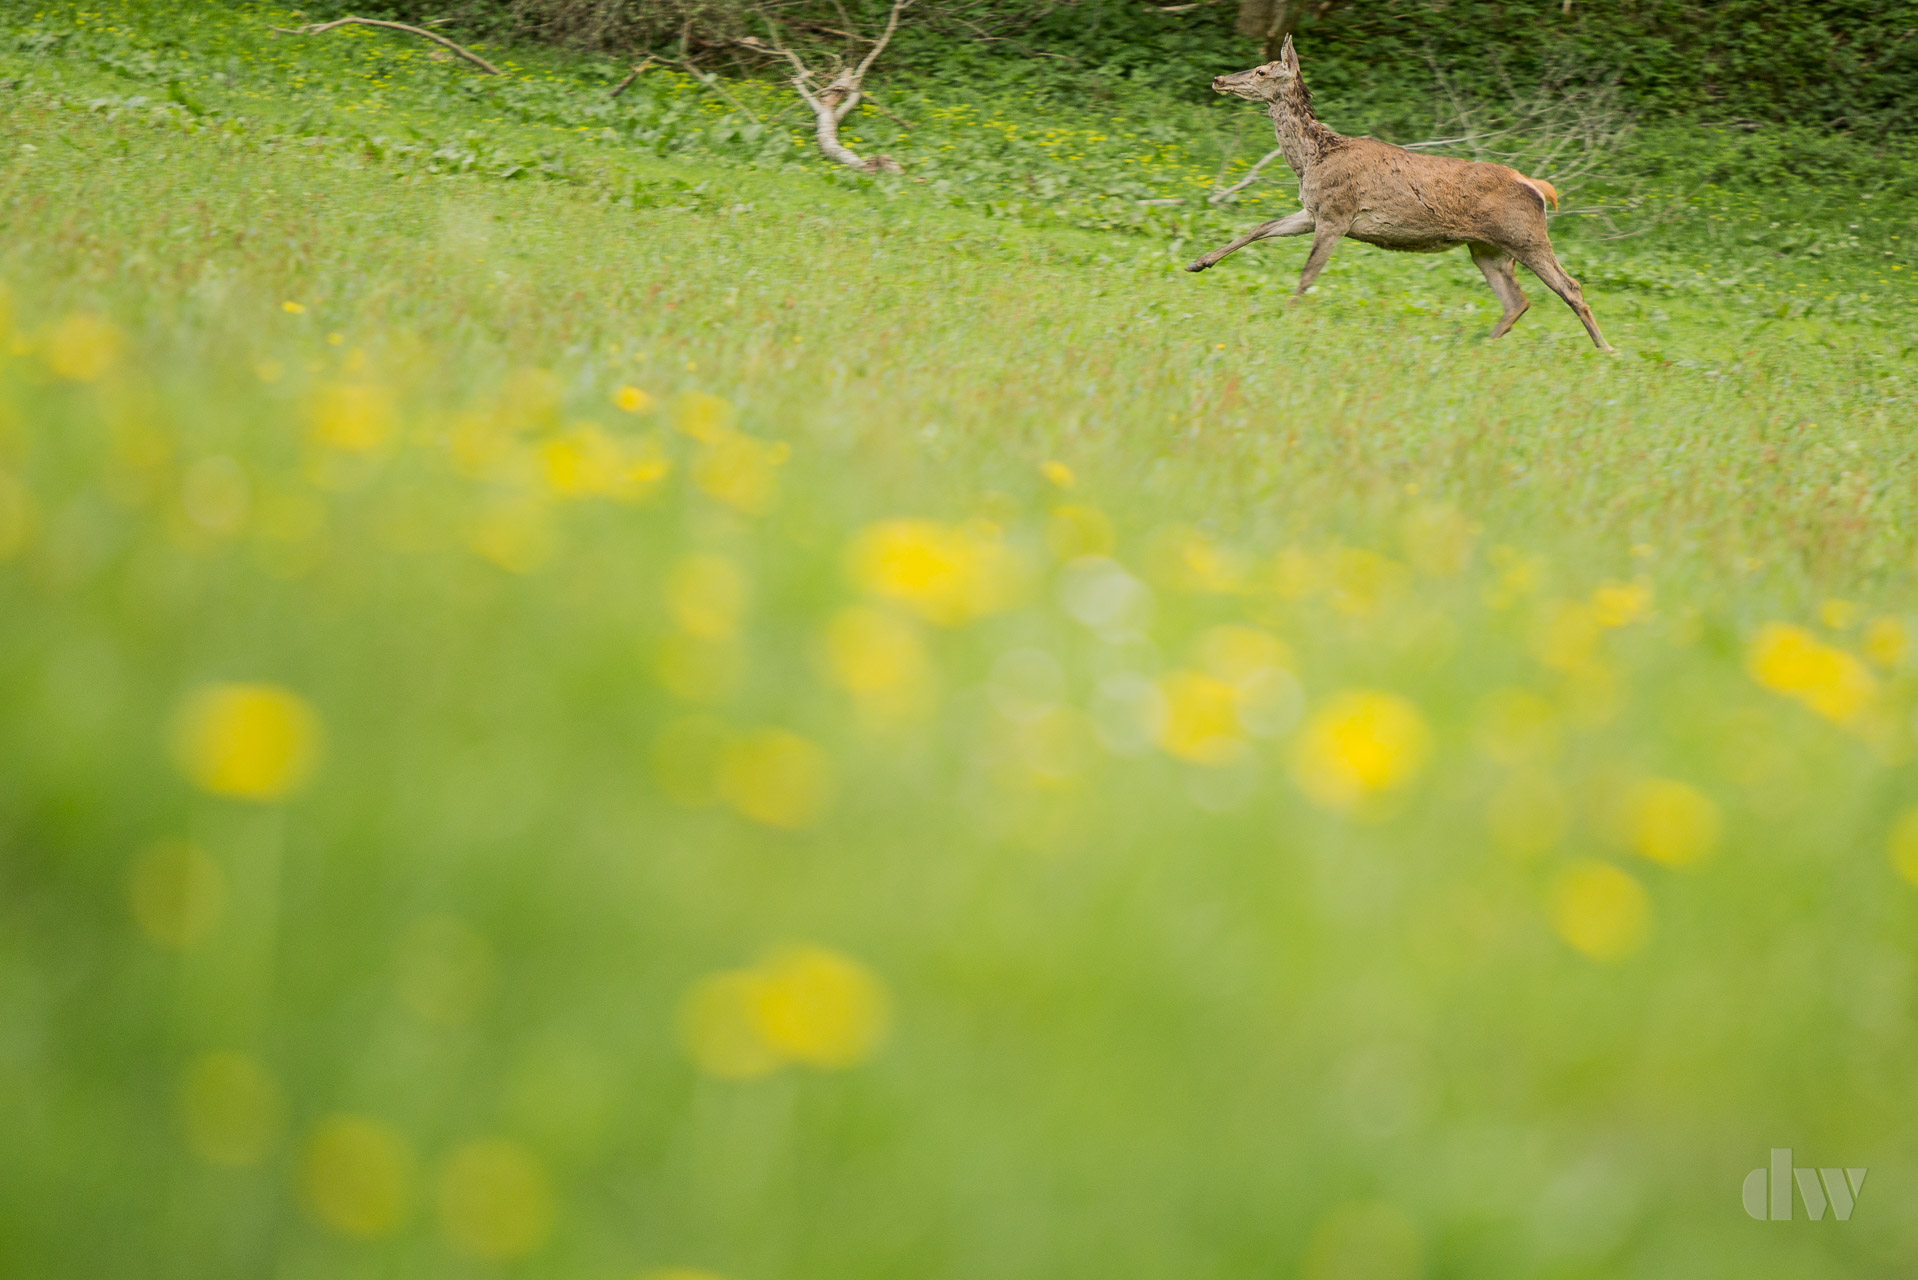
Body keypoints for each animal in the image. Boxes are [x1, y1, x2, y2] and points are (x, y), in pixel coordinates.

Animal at [1189, 40, 1611, 351]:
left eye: (1262, 70)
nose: (1219, 78)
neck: (1312, 157)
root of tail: (1539, 188)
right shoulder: (1313, 212)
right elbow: (1260, 227)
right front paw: (1198, 262)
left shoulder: (1337, 214)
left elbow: (1308, 273)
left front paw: (1288, 315)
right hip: (1487, 249)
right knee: (1517, 300)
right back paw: (1484, 345)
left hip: (1526, 236)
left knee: (1569, 287)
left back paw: (1605, 349)